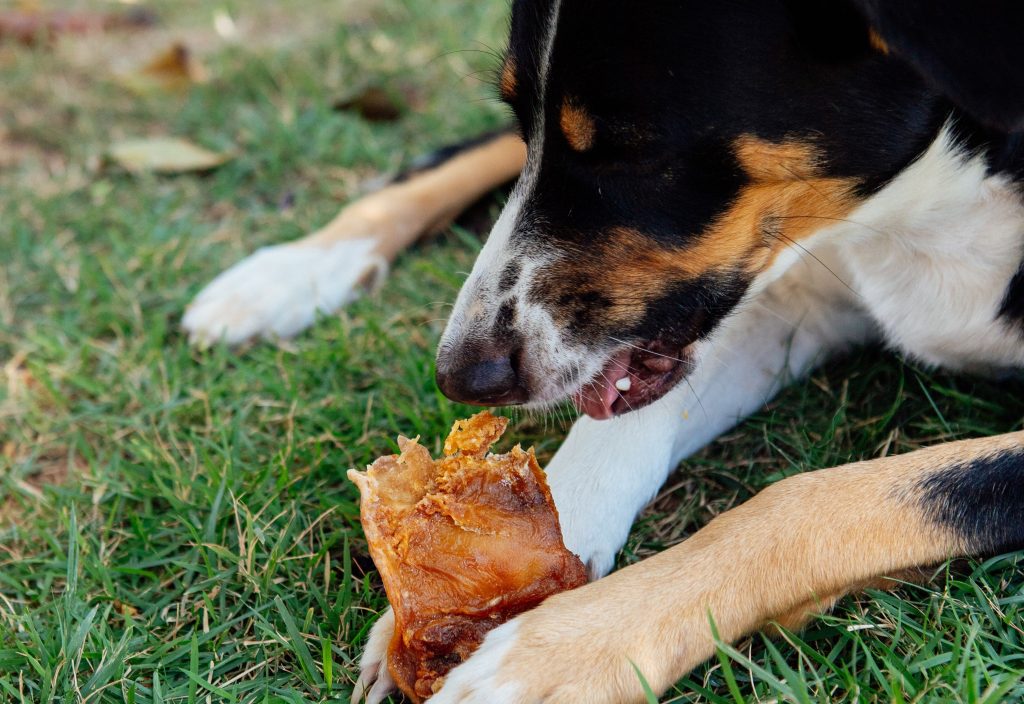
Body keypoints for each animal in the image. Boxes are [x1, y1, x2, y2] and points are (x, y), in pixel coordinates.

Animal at [180, 1, 1019, 704]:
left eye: (636, 153)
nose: (462, 374)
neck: (929, 200)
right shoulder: (791, 290)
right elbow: (604, 443)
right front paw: (481, 584)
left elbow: (808, 500)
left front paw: (554, 653)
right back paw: (286, 274)